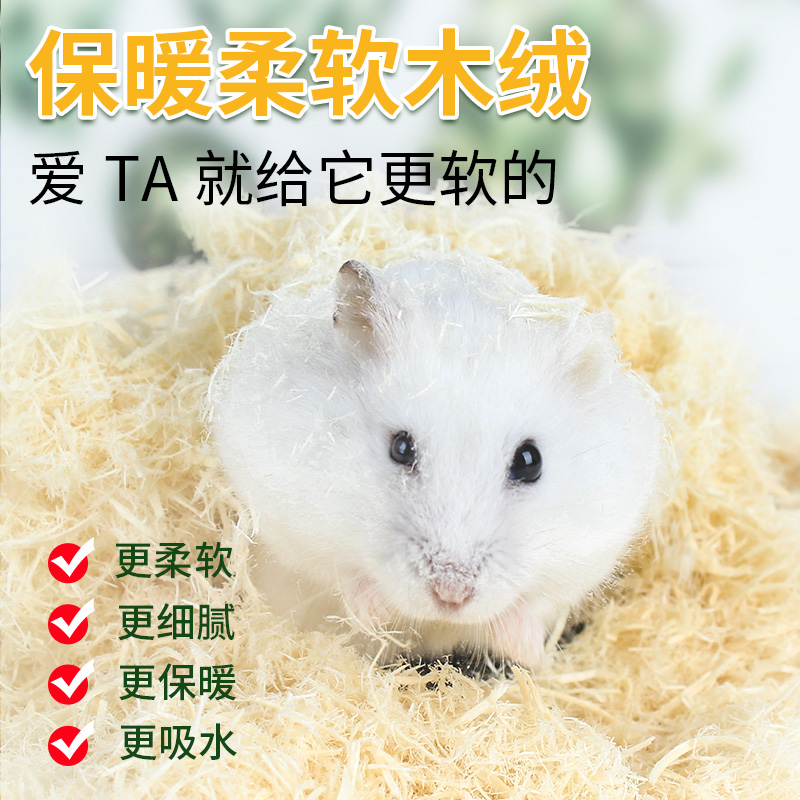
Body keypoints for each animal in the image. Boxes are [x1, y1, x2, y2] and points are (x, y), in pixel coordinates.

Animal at [209, 256, 662, 668]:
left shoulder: (588, 550)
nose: (451, 596)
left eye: (529, 461)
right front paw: (375, 613)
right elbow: (340, 573)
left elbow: (531, 602)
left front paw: (530, 652)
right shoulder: (290, 517)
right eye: (400, 448)